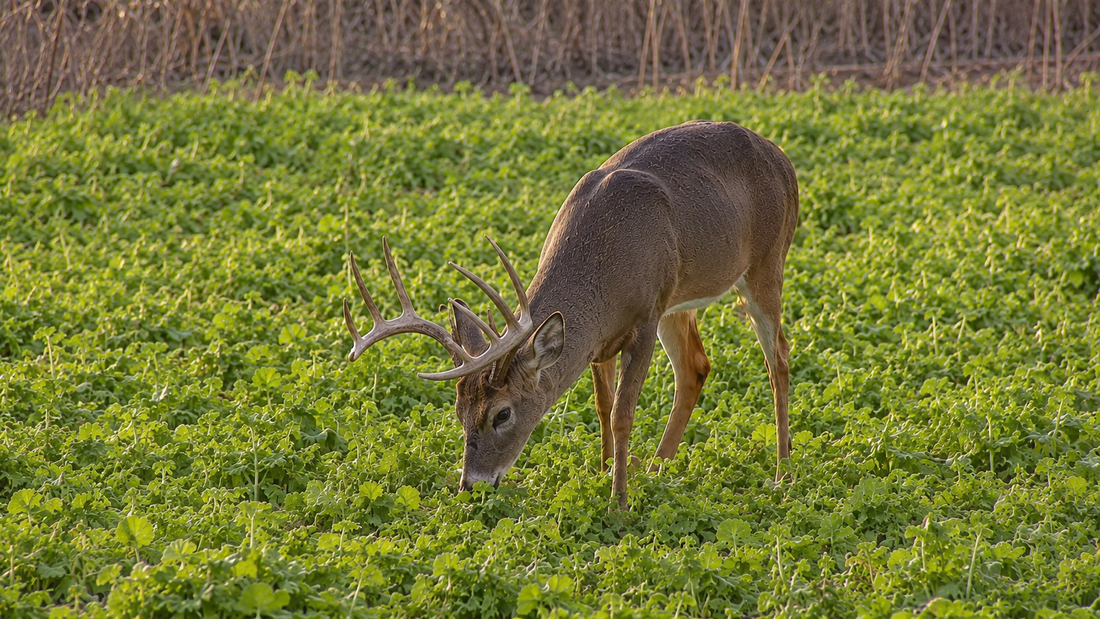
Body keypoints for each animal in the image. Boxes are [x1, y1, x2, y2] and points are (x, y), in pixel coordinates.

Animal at [343, 120, 799, 508]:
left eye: (502, 413)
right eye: (458, 412)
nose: (470, 486)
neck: (601, 266)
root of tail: (782, 159)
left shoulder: (645, 316)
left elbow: (621, 413)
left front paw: (618, 501)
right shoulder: (605, 338)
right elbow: (601, 406)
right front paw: (604, 472)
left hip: (767, 263)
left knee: (778, 357)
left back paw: (782, 474)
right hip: (681, 297)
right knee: (696, 366)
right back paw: (656, 470)